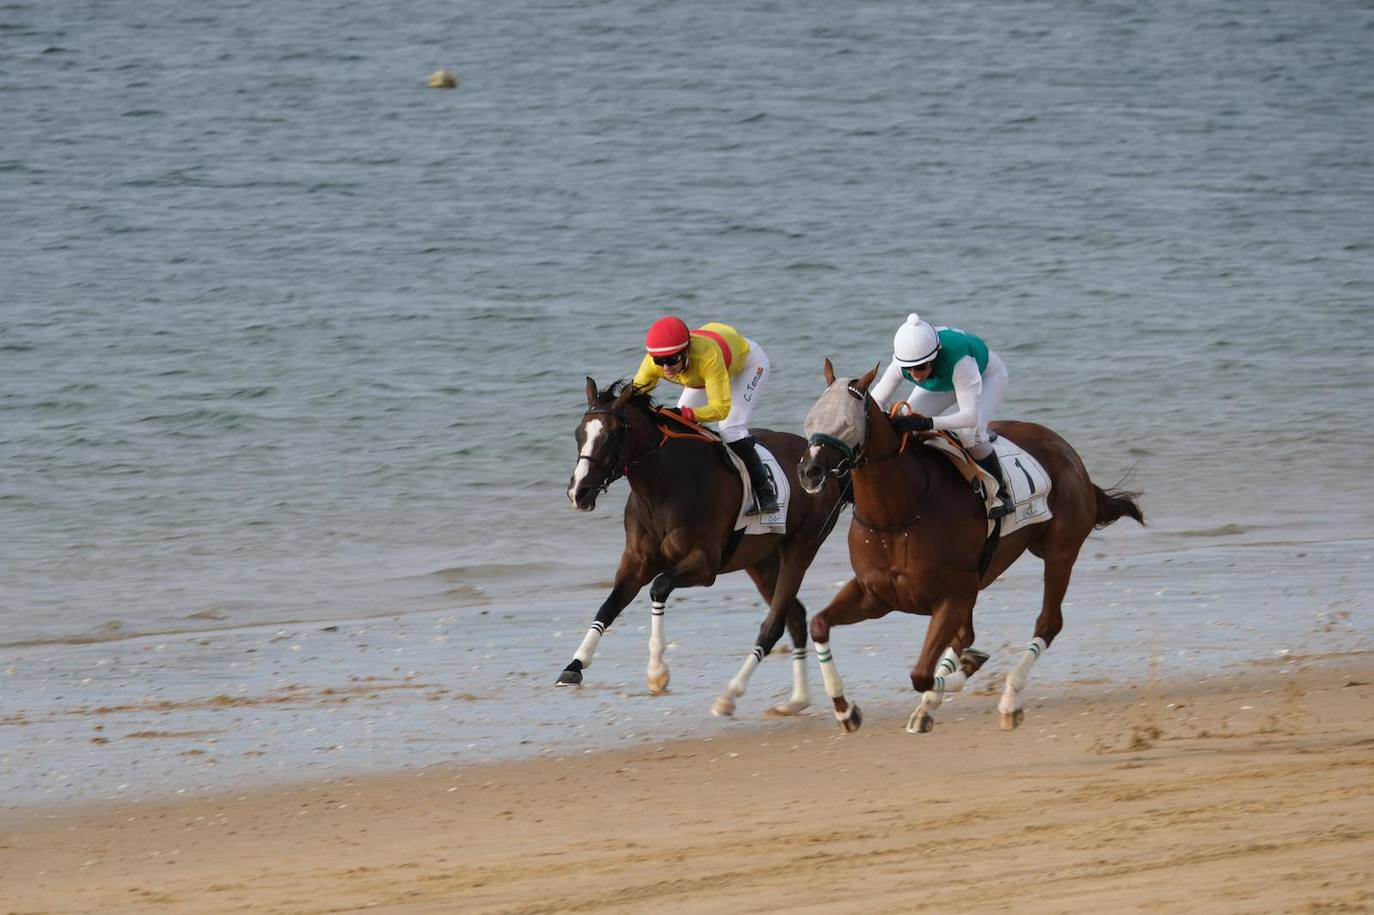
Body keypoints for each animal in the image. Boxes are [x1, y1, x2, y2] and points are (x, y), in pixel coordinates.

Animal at [560, 376, 846, 714]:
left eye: (611, 436)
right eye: (578, 433)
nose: (578, 492)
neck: (663, 485)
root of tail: (823, 464)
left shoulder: (704, 564)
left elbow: (659, 588)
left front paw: (657, 673)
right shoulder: (636, 560)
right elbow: (610, 605)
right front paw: (575, 665)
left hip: (800, 548)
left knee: (777, 622)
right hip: (760, 561)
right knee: (796, 617)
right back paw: (797, 700)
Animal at [791, 359, 1143, 730]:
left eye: (846, 423)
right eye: (810, 419)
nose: (809, 472)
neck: (899, 516)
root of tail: (1067, 451)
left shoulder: (953, 594)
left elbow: (921, 674)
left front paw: (957, 677)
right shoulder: (875, 594)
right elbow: (819, 625)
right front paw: (845, 708)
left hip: (1059, 552)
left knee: (1048, 623)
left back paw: (1008, 699)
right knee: (967, 637)